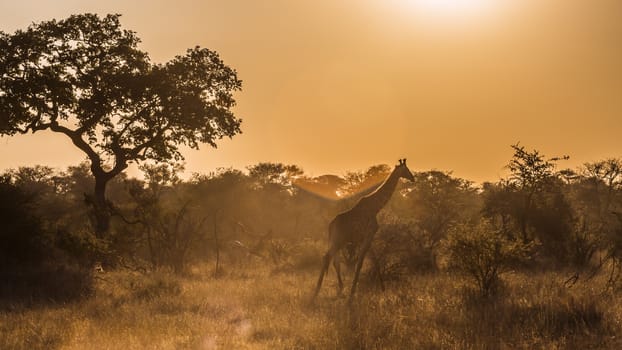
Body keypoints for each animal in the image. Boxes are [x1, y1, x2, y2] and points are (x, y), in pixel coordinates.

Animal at [314, 160, 416, 300]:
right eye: (406, 169)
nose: (413, 178)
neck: (375, 207)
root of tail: (330, 225)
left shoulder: (367, 237)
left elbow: (375, 260)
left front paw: (383, 288)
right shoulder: (369, 234)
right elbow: (361, 263)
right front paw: (353, 292)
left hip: (339, 242)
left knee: (335, 261)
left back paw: (339, 288)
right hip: (338, 240)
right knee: (326, 258)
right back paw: (316, 292)